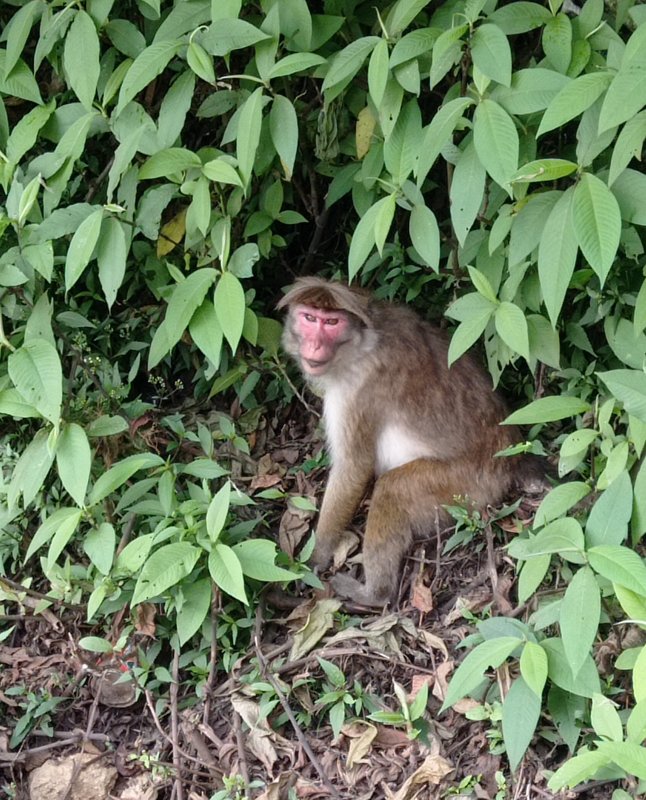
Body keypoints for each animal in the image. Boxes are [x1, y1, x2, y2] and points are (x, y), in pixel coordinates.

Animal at [278, 276, 536, 608]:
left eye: (331, 322)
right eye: (309, 318)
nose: (315, 344)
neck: (362, 343)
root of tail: (510, 456)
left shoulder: (357, 389)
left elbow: (353, 469)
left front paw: (315, 559)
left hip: (467, 485)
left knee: (393, 490)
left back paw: (375, 594)